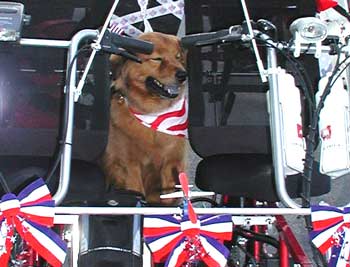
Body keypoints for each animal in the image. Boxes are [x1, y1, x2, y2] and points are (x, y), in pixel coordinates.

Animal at [101, 33, 189, 205]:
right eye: (157, 59)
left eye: (177, 57)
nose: (183, 75)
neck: (152, 113)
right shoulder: (128, 165)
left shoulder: (171, 162)